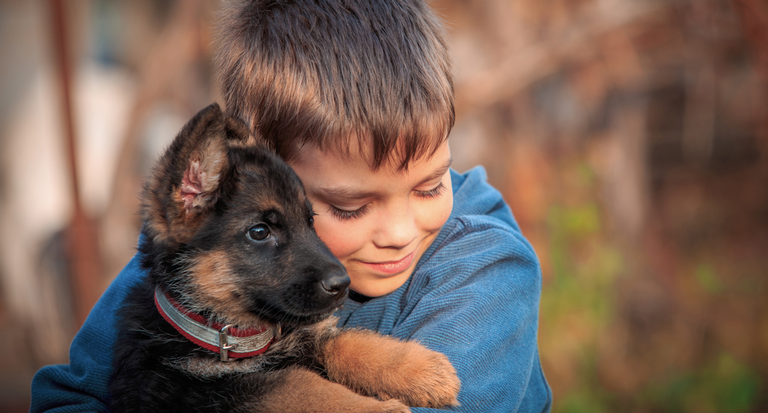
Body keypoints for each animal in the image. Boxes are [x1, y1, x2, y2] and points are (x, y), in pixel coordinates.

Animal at [107, 101, 456, 410]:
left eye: (310, 220)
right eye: (260, 232)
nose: (342, 284)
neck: (228, 335)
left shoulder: (301, 338)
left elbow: (346, 341)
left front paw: (424, 370)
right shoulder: (209, 388)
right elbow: (300, 385)